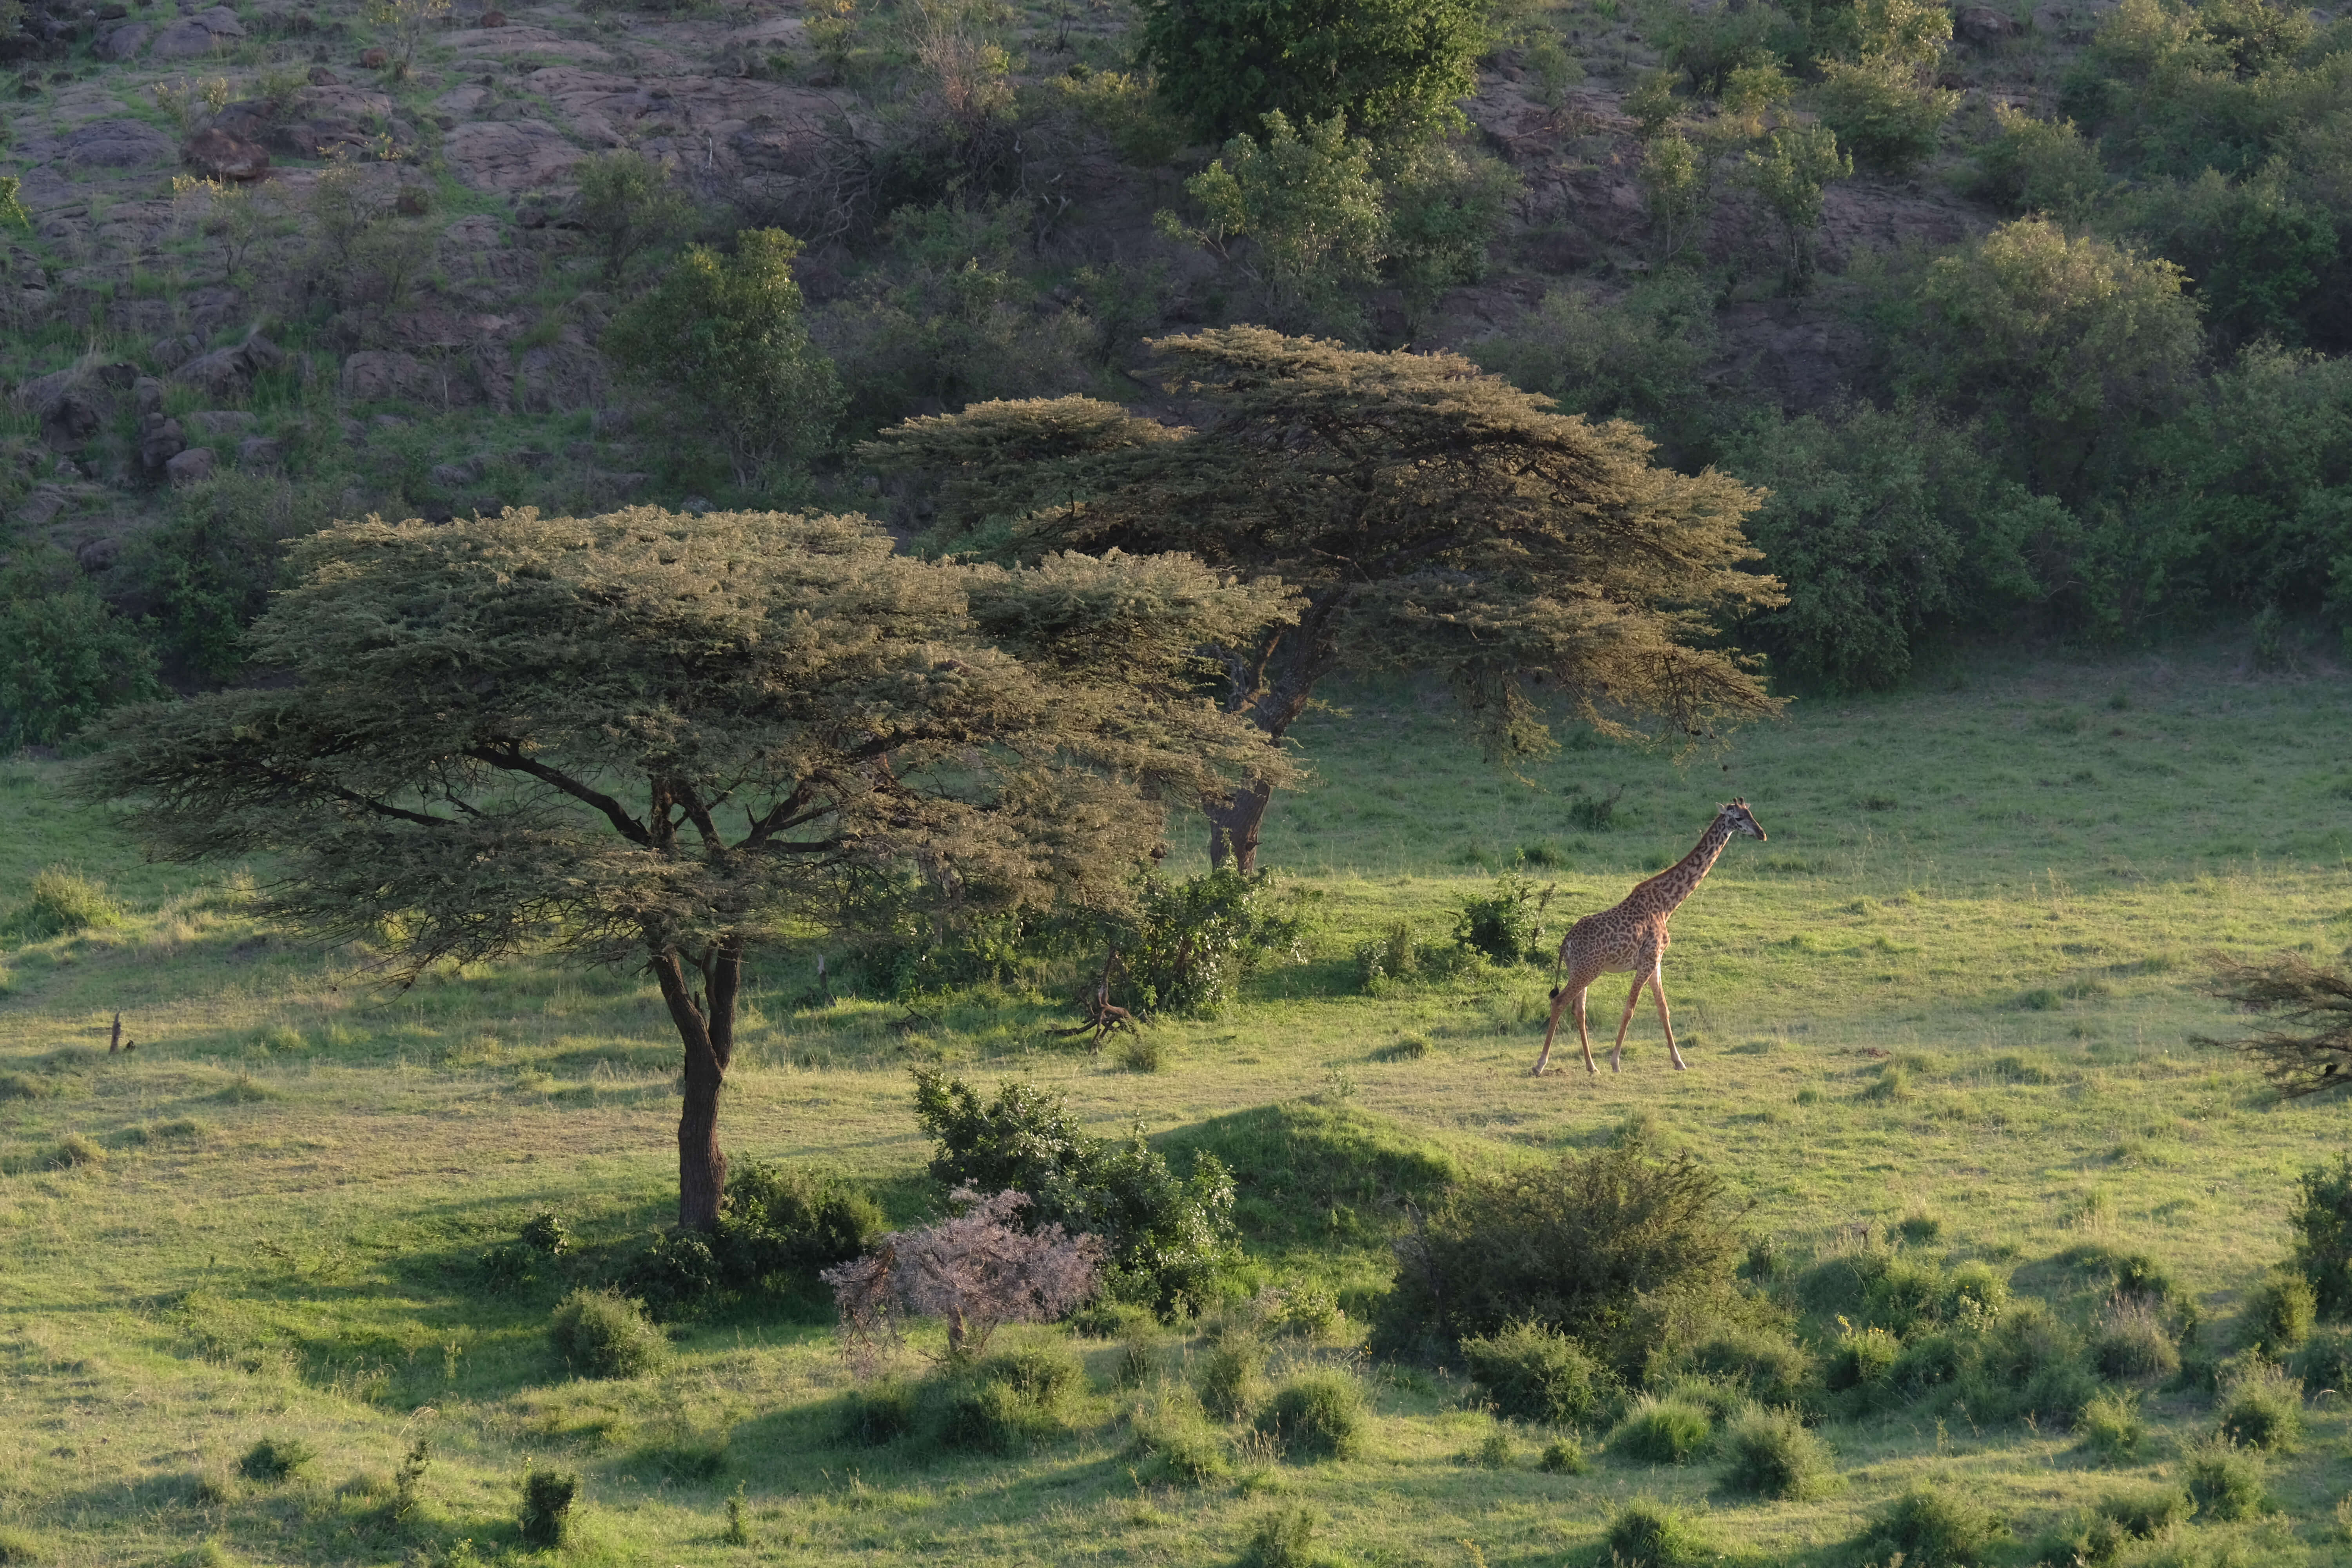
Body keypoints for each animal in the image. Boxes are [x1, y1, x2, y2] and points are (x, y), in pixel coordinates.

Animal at [1524, 799, 1769, 1081]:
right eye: (1738, 818)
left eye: (1751, 814)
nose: (1762, 834)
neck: (1667, 904)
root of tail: (1565, 944)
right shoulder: (1649, 960)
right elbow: (1630, 1009)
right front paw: (1616, 1062)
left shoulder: (1656, 961)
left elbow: (1664, 1008)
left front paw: (1679, 1062)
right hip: (1588, 970)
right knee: (1560, 1001)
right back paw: (1540, 1064)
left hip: (1581, 970)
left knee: (1579, 1010)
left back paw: (1591, 1066)